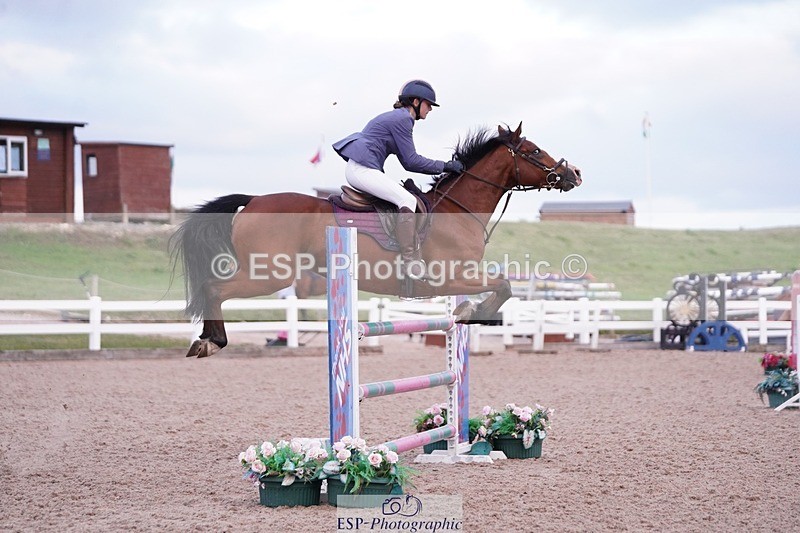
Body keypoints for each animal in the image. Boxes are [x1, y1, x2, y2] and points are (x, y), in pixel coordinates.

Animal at [170, 123, 582, 358]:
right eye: (532, 151)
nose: (573, 173)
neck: (458, 210)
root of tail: (253, 200)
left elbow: (501, 286)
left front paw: (470, 312)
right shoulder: (450, 277)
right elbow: (504, 285)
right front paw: (472, 312)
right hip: (270, 274)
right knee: (214, 288)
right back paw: (211, 341)